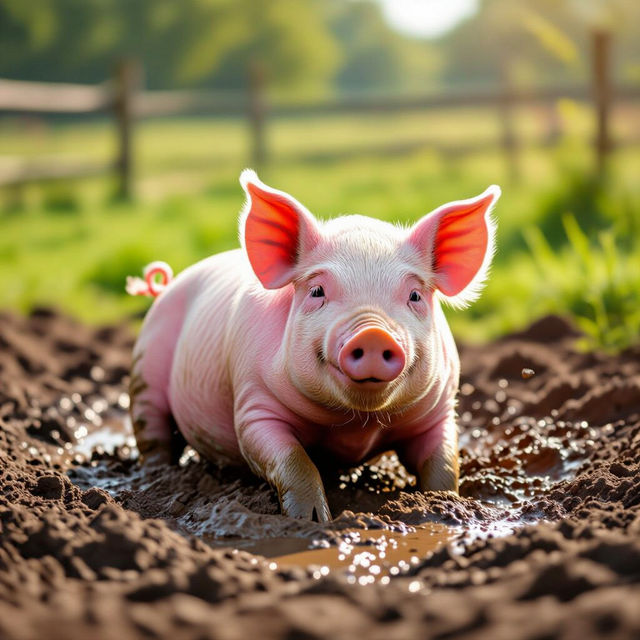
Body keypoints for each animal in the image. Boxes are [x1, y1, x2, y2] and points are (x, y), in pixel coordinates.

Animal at [128, 170, 500, 521]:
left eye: (415, 296)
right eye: (318, 291)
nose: (373, 333)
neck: (355, 423)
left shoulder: (440, 408)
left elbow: (443, 464)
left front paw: (446, 505)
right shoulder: (253, 404)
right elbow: (292, 459)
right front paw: (312, 520)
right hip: (144, 367)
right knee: (153, 435)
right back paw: (156, 478)